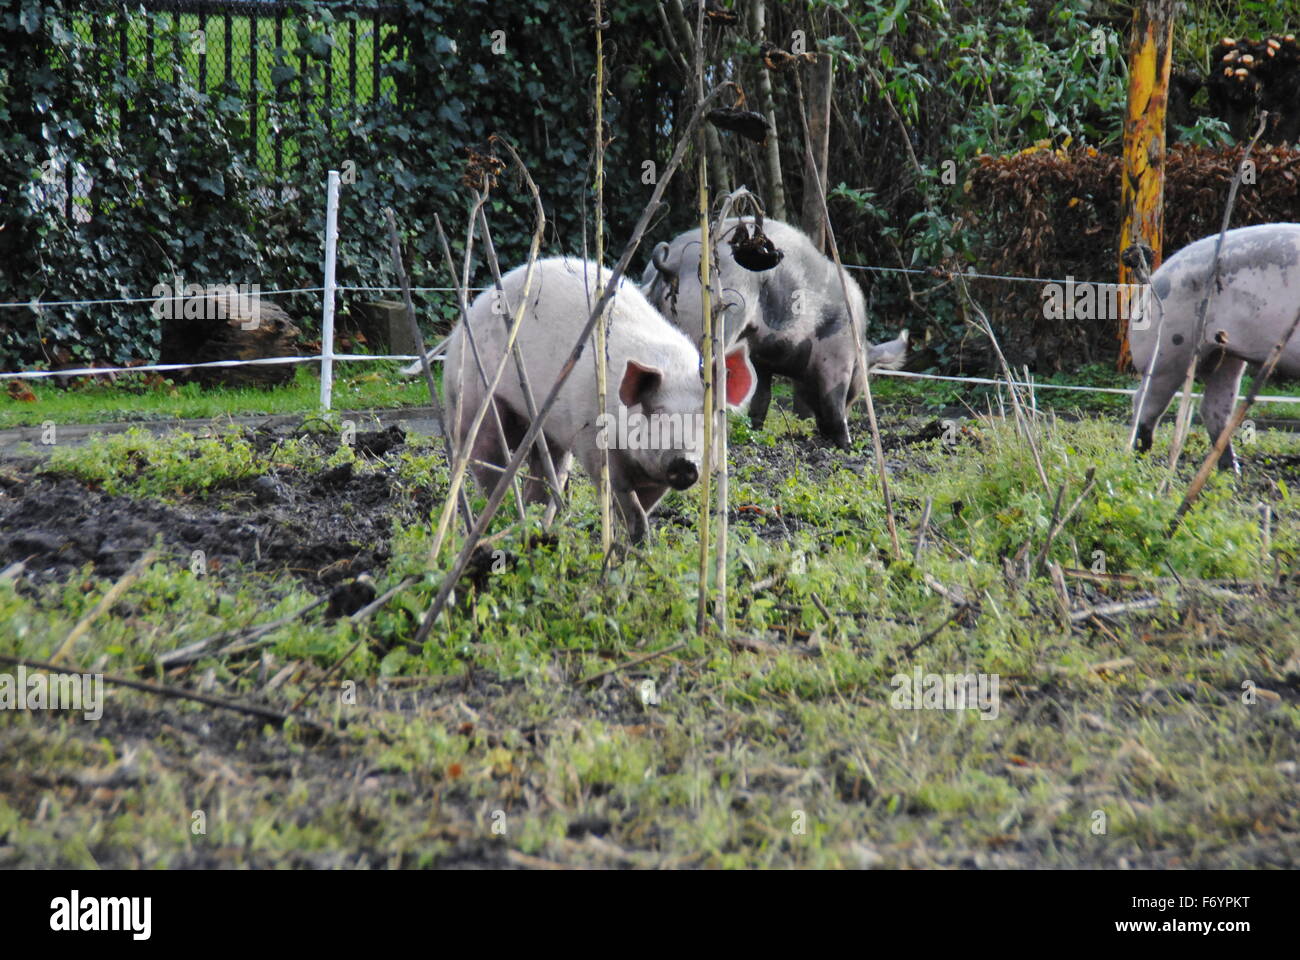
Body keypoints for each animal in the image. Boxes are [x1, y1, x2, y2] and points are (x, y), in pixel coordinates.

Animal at [443, 257, 757, 543]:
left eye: (706, 415)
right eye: (655, 411)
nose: (683, 462)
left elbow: (645, 506)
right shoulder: (593, 443)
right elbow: (624, 501)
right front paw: (634, 543)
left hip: (549, 430)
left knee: (546, 472)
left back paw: (537, 522)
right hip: (475, 397)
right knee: (486, 457)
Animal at [640, 218, 908, 449]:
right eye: (861, 380)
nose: (823, 434)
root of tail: (673, 261)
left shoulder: (762, 357)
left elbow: (762, 396)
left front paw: (755, 432)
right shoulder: (837, 356)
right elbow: (834, 402)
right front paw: (846, 444)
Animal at [1129, 222, 1300, 473]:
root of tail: (1156, 279)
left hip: (1226, 353)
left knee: (1214, 407)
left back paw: (1232, 470)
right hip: (1168, 351)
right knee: (1146, 402)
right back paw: (1139, 457)